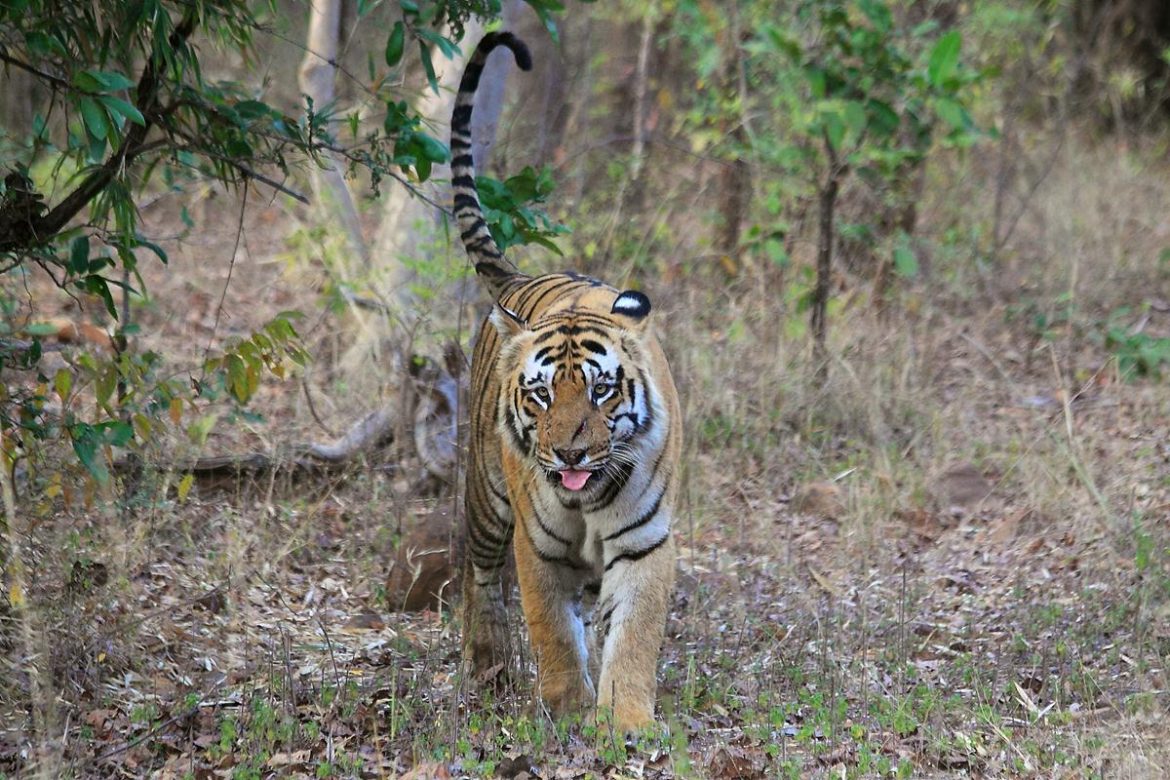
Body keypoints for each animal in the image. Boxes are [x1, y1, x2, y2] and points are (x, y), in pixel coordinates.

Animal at [449, 32, 683, 734]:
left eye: (602, 391)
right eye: (542, 393)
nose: (571, 454)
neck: (588, 501)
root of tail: (524, 277)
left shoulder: (645, 542)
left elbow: (633, 633)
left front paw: (626, 719)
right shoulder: (540, 547)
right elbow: (551, 627)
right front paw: (567, 708)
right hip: (487, 500)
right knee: (477, 578)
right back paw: (489, 666)